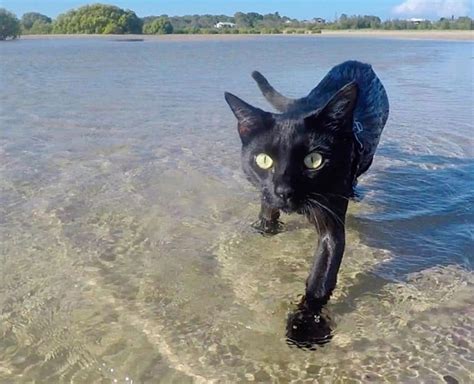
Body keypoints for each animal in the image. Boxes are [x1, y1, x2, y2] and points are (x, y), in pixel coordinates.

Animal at [224, 60, 386, 348]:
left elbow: (320, 278)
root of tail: (360, 63)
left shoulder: (331, 223)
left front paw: (307, 324)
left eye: (314, 160)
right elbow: (266, 210)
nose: (284, 190)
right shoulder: (266, 192)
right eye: (263, 160)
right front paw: (264, 227)